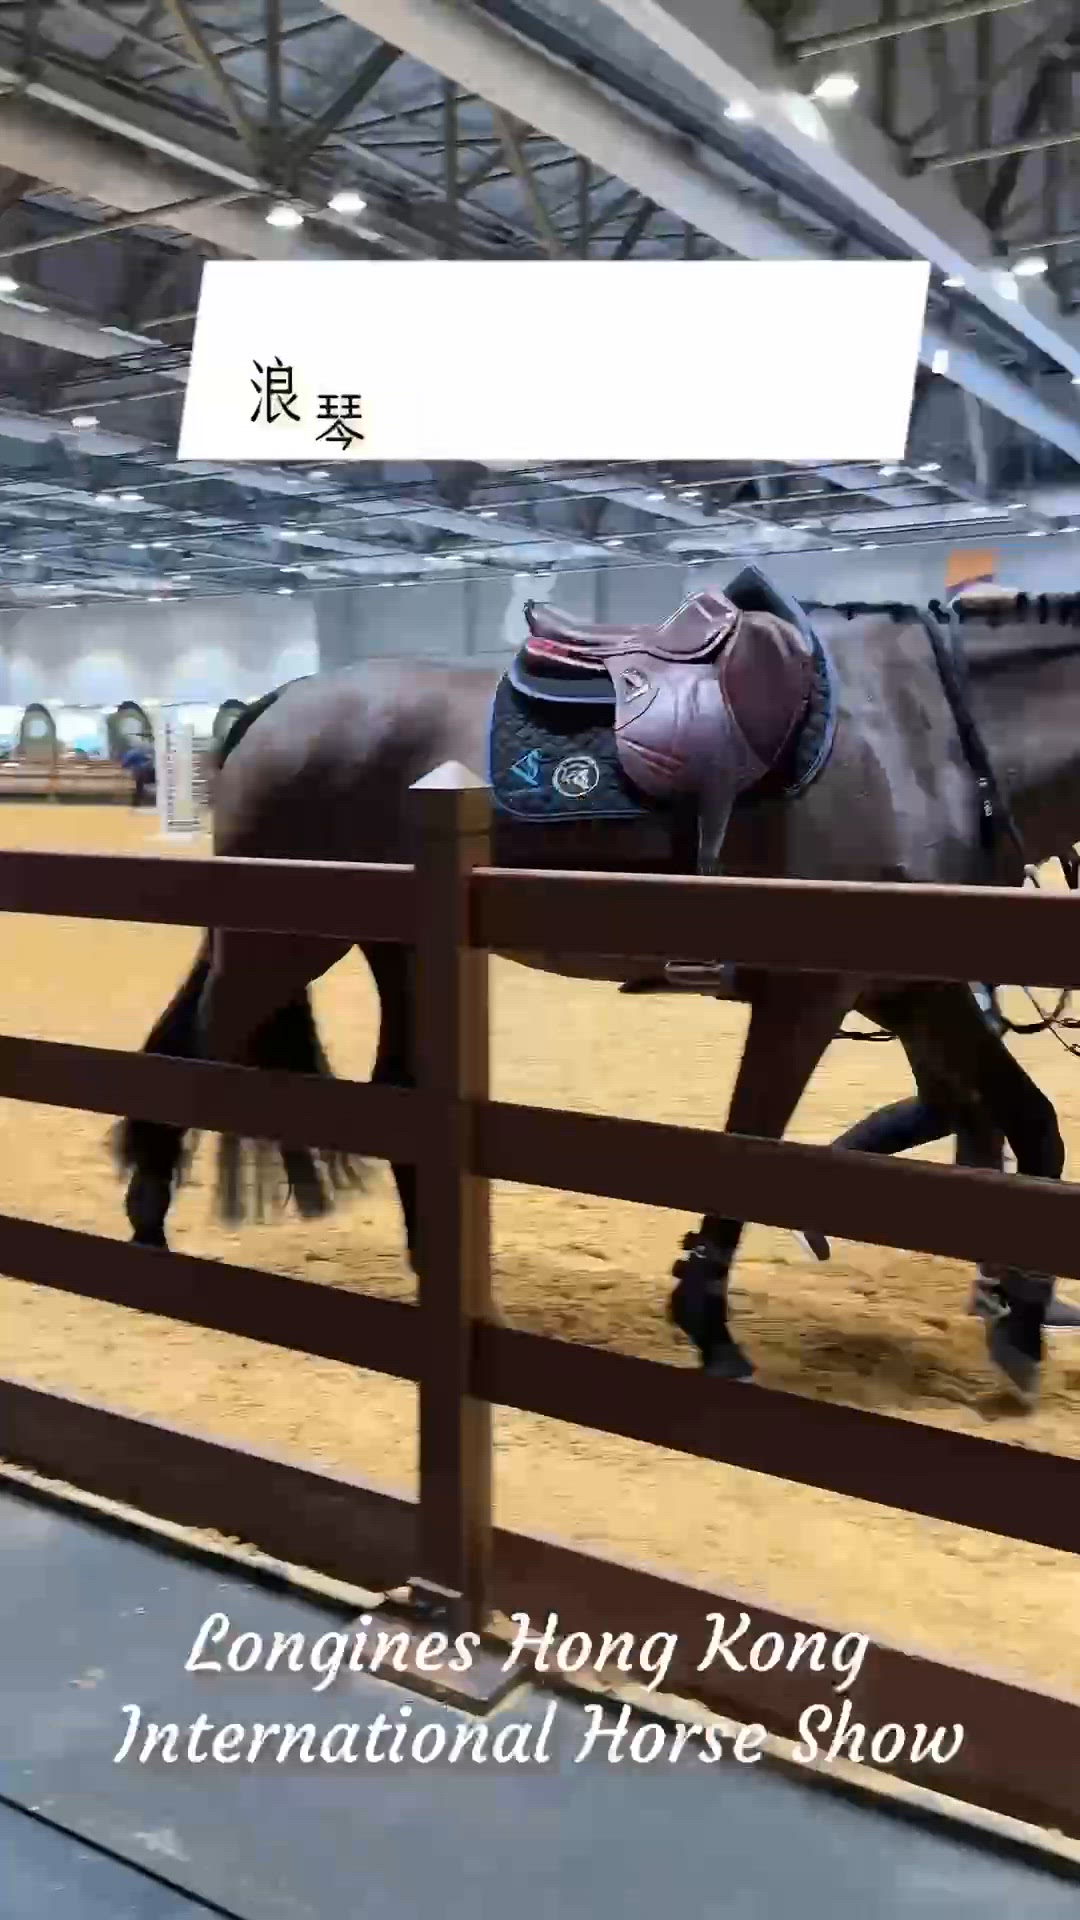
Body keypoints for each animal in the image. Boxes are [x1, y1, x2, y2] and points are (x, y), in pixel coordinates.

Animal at [114, 575, 1080, 1409]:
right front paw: (708, 1325)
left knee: (390, 1092)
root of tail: (285, 703)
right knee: (194, 1054)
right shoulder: (815, 995)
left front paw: (1022, 1317)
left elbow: (1030, 1124)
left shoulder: (914, 991)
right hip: (282, 945)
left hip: (394, 952)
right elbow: (755, 1143)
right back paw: (148, 1233)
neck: (920, 733)